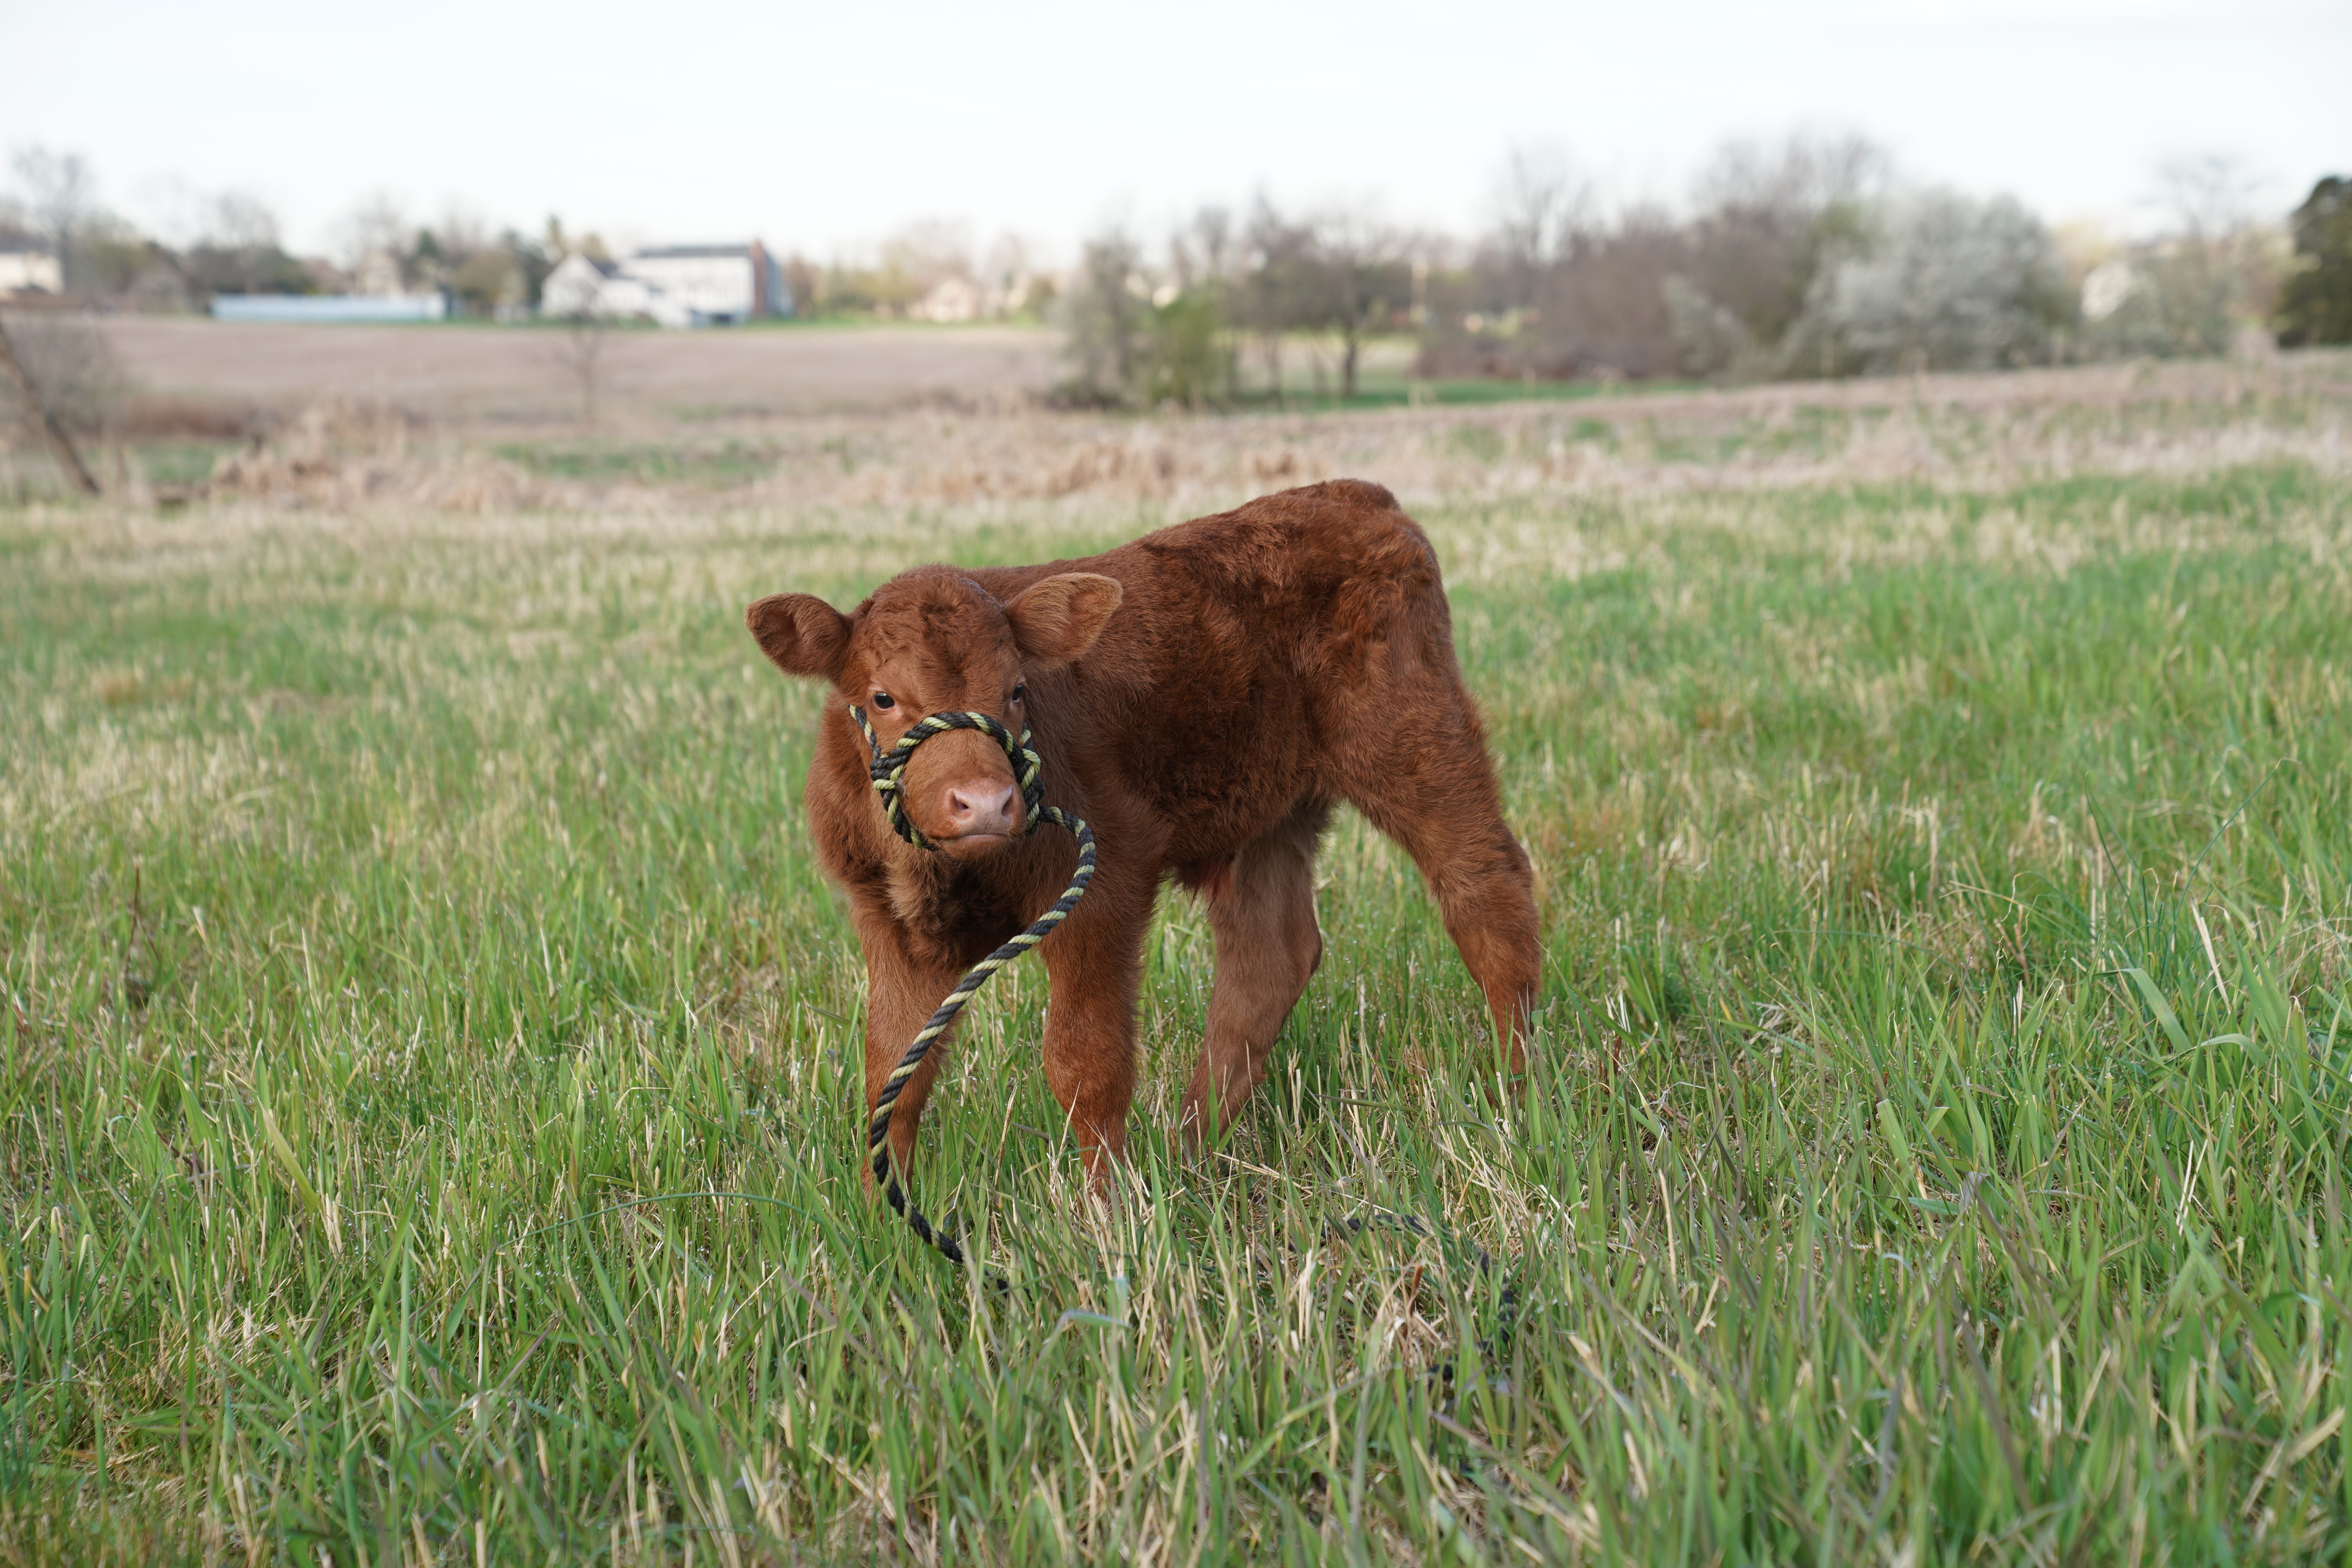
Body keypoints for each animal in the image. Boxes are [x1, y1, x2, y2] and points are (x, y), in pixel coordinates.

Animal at [746, 479, 1540, 1188]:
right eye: (882, 697)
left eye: (1016, 689)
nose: (988, 803)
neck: (945, 874)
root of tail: (1359, 497)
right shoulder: (886, 921)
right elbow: (893, 1074)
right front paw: (882, 1212)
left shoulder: (1105, 882)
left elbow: (1083, 1061)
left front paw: (1106, 1214)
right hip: (1271, 812)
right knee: (1270, 958)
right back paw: (1194, 1150)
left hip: (1416, 743)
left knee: (1488, 893)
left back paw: (1516, 1094)